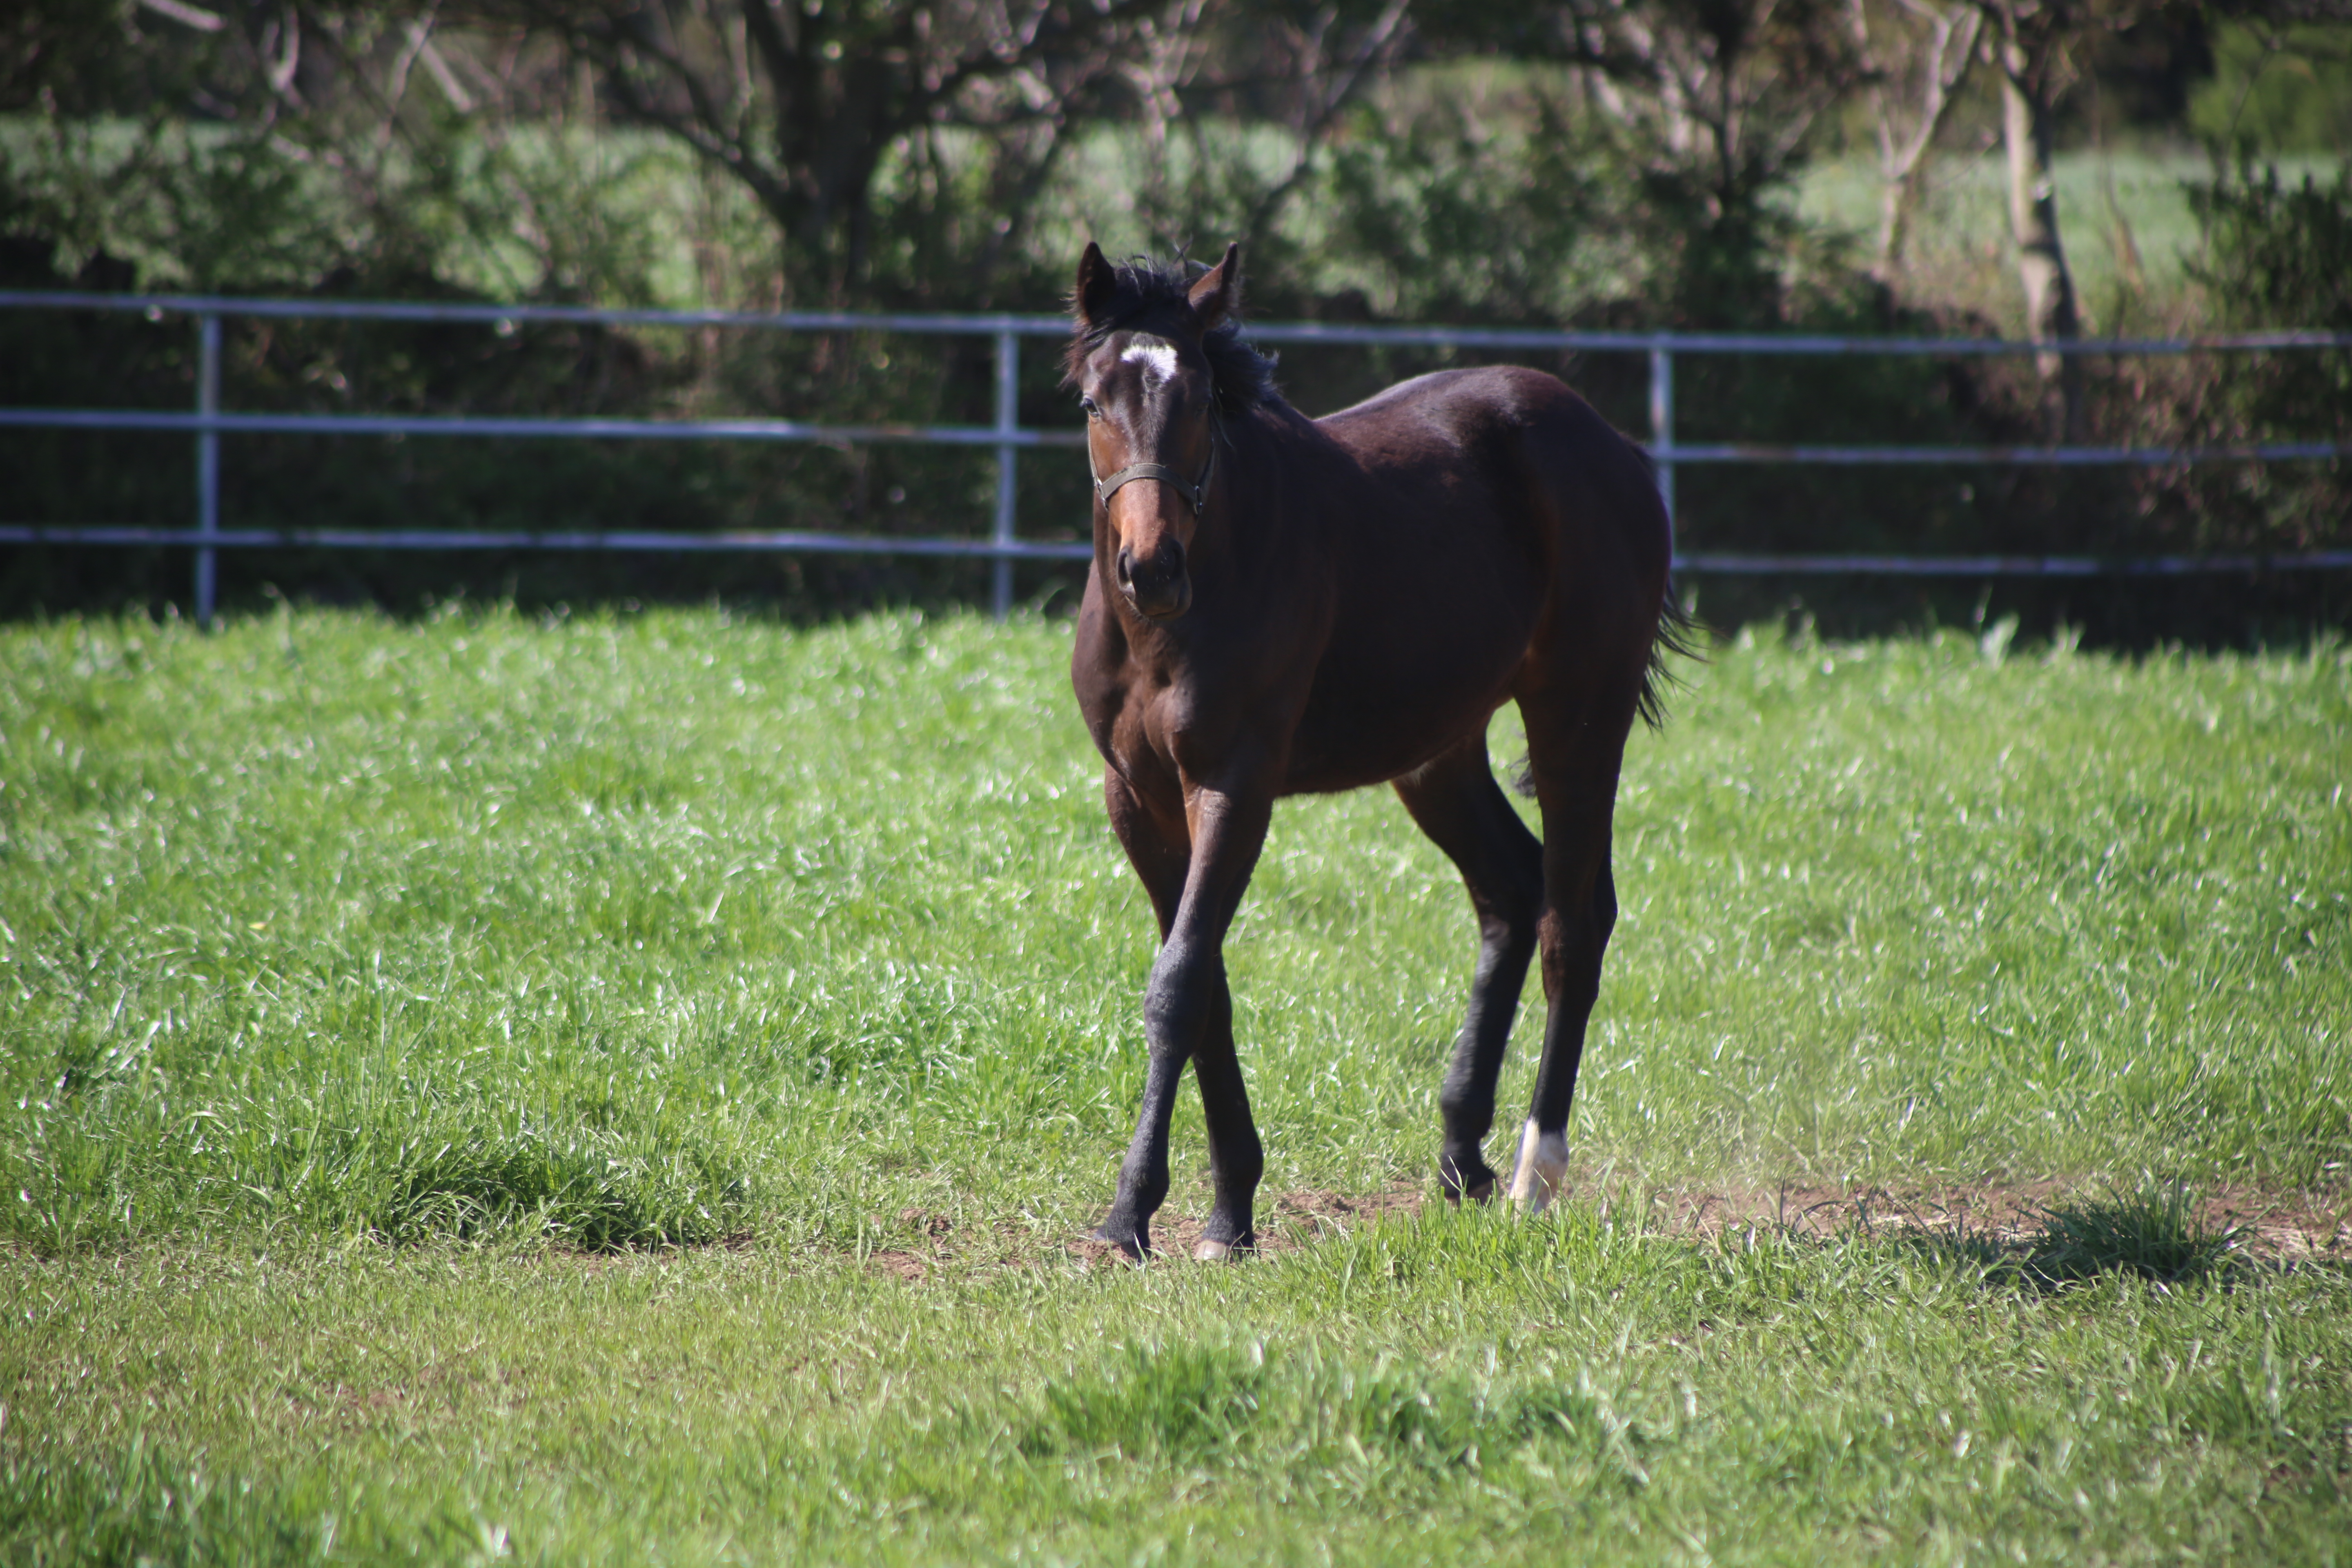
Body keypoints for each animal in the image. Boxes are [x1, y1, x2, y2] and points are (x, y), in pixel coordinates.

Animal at [1068, 240, 1693, 1260]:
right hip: (1439, 752)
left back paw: (1534, 1174)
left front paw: (1133, 1214)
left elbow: (1180, 983)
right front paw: (1230, 1208)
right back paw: (1461, 1156)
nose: (1152, 570)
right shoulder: (1137, 799)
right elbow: (1205, 985)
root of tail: (1614, 447)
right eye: (1093, 402)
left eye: (1199, 398)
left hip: (1578, 718)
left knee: (1574, 919)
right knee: (1511, 891)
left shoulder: (1236, 784)